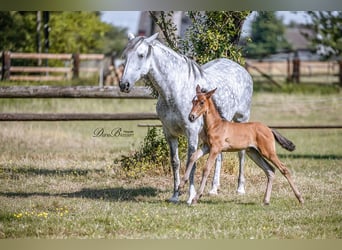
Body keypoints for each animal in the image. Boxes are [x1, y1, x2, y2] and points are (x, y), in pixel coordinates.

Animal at [119, 32, 252, 205]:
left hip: (242, 119)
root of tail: (241, 70)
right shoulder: (169, 133)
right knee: (219, 156)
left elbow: (191, 162)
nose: (124, 85)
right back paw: (213, 189)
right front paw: (175, 195)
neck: (175, 90)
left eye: (141, 55)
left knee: (241, 153)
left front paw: (190, 196)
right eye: (125, 55)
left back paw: (240, 188)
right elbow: (175, 162)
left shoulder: (192, 133)